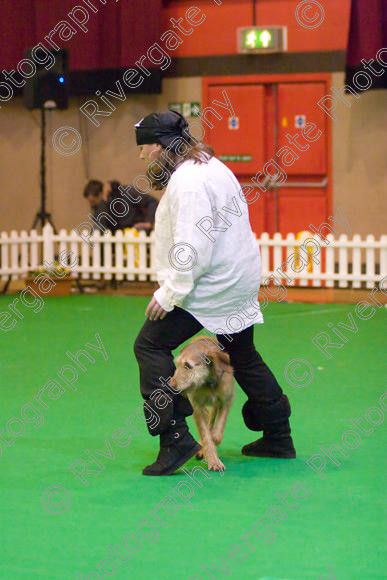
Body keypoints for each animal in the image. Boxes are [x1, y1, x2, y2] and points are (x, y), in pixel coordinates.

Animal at [170, 336, 236, 472]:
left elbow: (218, 429)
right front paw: (213, 460)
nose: (170, 385)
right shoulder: (196, 406)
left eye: (188, 366)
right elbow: (205, 434)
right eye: (177, 364)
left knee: (211, 418)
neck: (208, 383)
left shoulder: (226, 400)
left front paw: (214, 437)